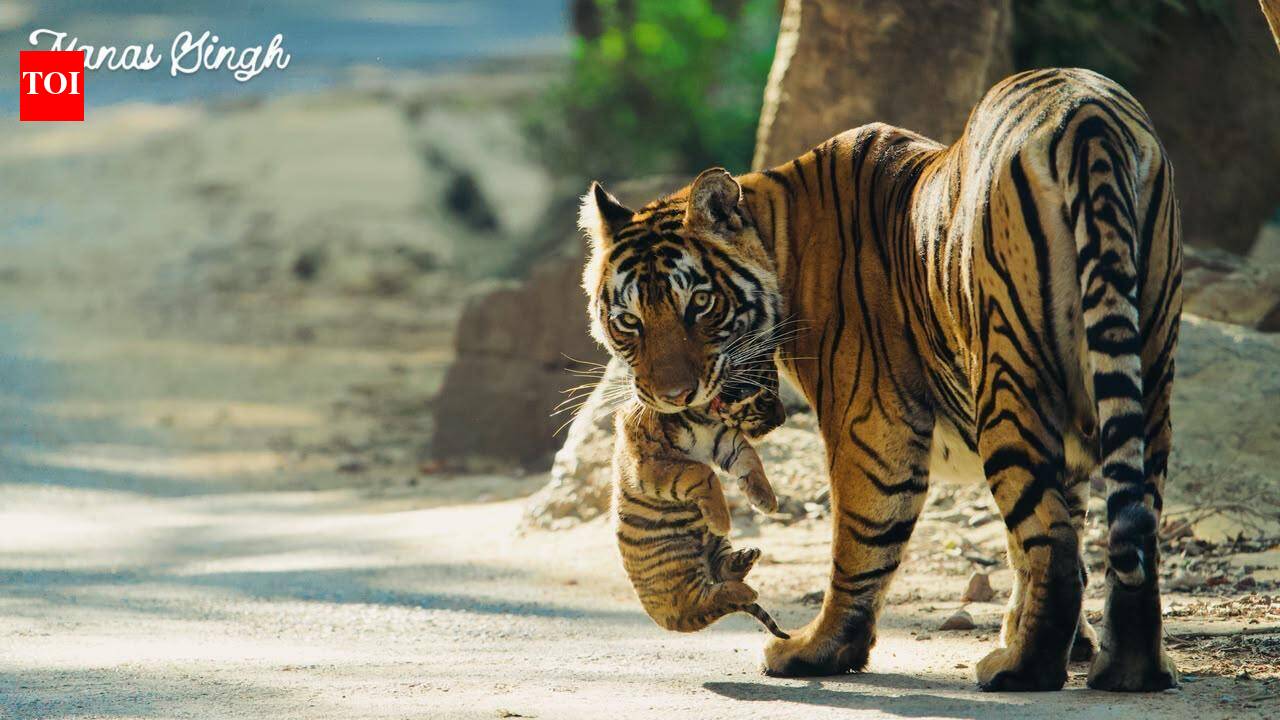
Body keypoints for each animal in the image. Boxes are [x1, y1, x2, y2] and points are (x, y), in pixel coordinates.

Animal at [611, 375, 789, 639]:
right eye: (766, 396)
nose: (782, 419)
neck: (702, 414)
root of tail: (665, 621)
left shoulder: (723, 438)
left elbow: (750, 457)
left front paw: (766, 500)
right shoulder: (651, 462)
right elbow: (702, 472)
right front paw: (723, 520)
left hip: (713, 544)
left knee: (720, 572)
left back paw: (744, 558)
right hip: (675, 565)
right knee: (704, 599)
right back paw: (747, 591)